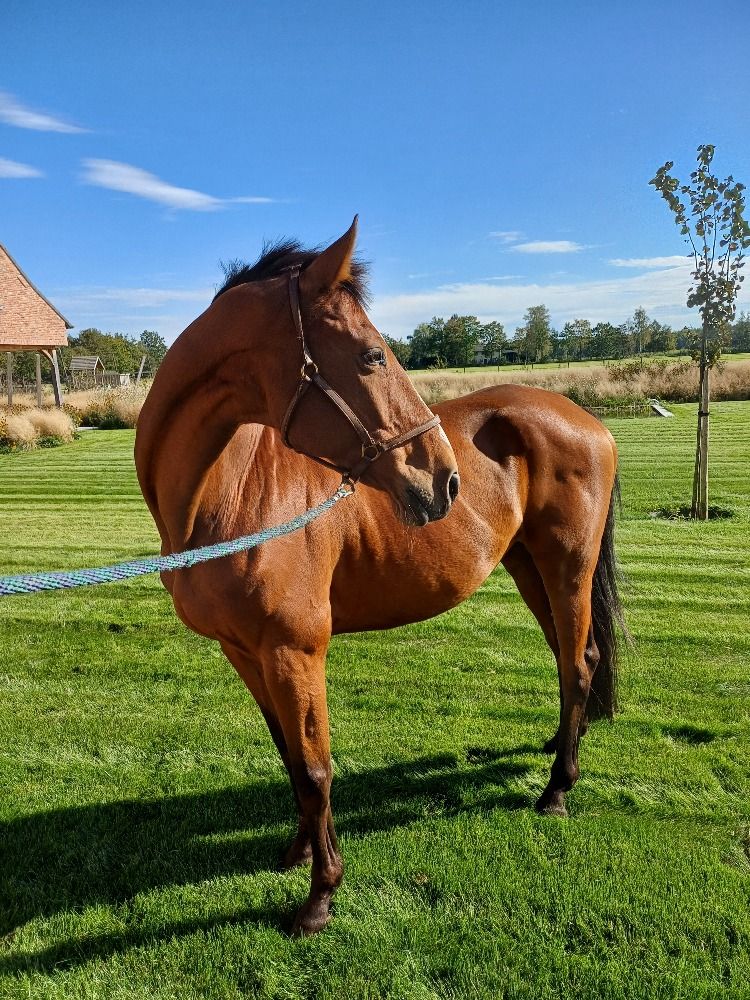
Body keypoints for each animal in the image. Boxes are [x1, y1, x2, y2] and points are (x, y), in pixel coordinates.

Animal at [135, 220, 623, 936]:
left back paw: (557, 789)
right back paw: (563, 748)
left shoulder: (295, 650)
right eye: (370, 356)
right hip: (528, 566)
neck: (226, 498)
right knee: (572, 656)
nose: (443, 480)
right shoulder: (244, 651)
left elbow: (315, 769)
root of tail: (588, 420)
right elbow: (289, 756)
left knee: (579, 662)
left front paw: (320, 895)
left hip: (568, 567)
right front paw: (298, 852)